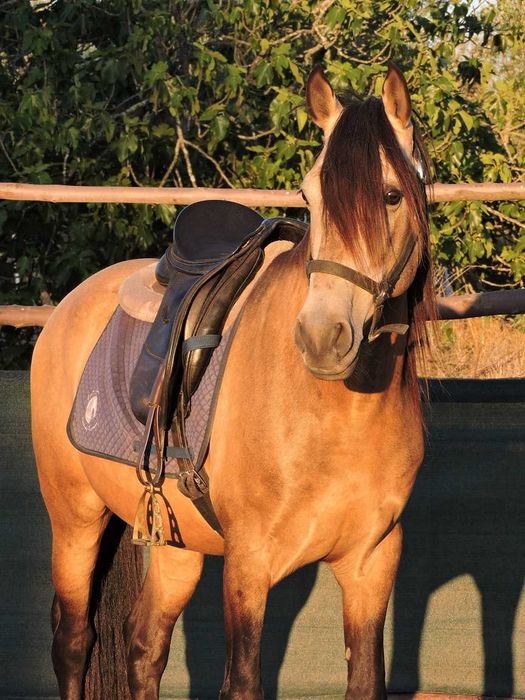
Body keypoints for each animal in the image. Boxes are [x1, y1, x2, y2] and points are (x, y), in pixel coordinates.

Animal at [31, 62, 435, 700]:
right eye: (309, 198)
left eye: (391, 196)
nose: (321, 337)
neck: (335, 416)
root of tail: (70, 303)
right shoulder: (249, 564)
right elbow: (242, 681)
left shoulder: (372, 562)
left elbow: (367, 678)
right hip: (74, 519)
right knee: (73, 642)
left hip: (177, 546)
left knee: (145, 646)